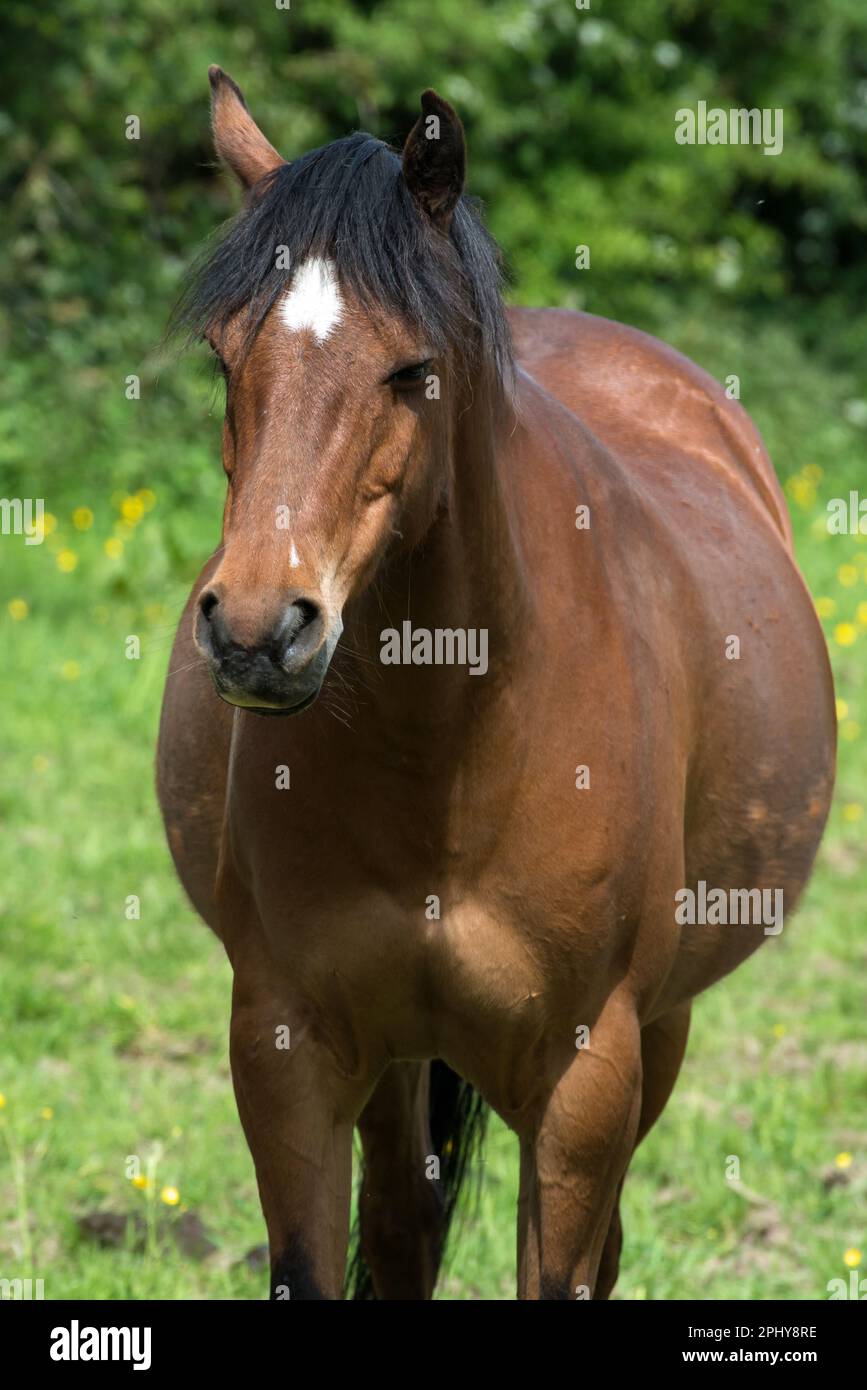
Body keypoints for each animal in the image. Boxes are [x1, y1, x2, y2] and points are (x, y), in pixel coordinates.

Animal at [157, 68, 836, 1300]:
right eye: (226, 362)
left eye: (412, 370)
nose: (257, 631)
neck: (451, 746)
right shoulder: (288, 1049)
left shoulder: (586, 1079)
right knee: (405, 1227)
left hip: (659, 1032)